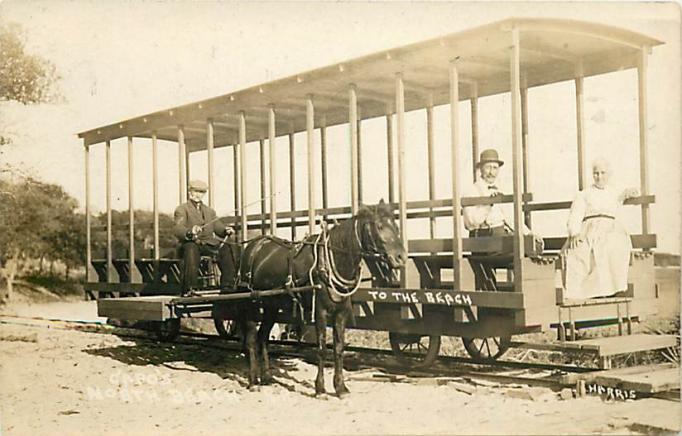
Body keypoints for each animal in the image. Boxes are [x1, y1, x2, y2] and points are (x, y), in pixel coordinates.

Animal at [232, 199, 404, 396]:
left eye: (396, 225)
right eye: (379, 226)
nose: (401, 257)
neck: (331, 261)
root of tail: (253, 246)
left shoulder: (341, 312)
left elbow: (339, 347)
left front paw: (340, 387)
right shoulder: (320, 310)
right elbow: (321, 348)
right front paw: (320, 388)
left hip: (271, 305)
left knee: (263, 337)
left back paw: (266, 376)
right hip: (251, 303)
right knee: (252, 340)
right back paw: (253, 380)